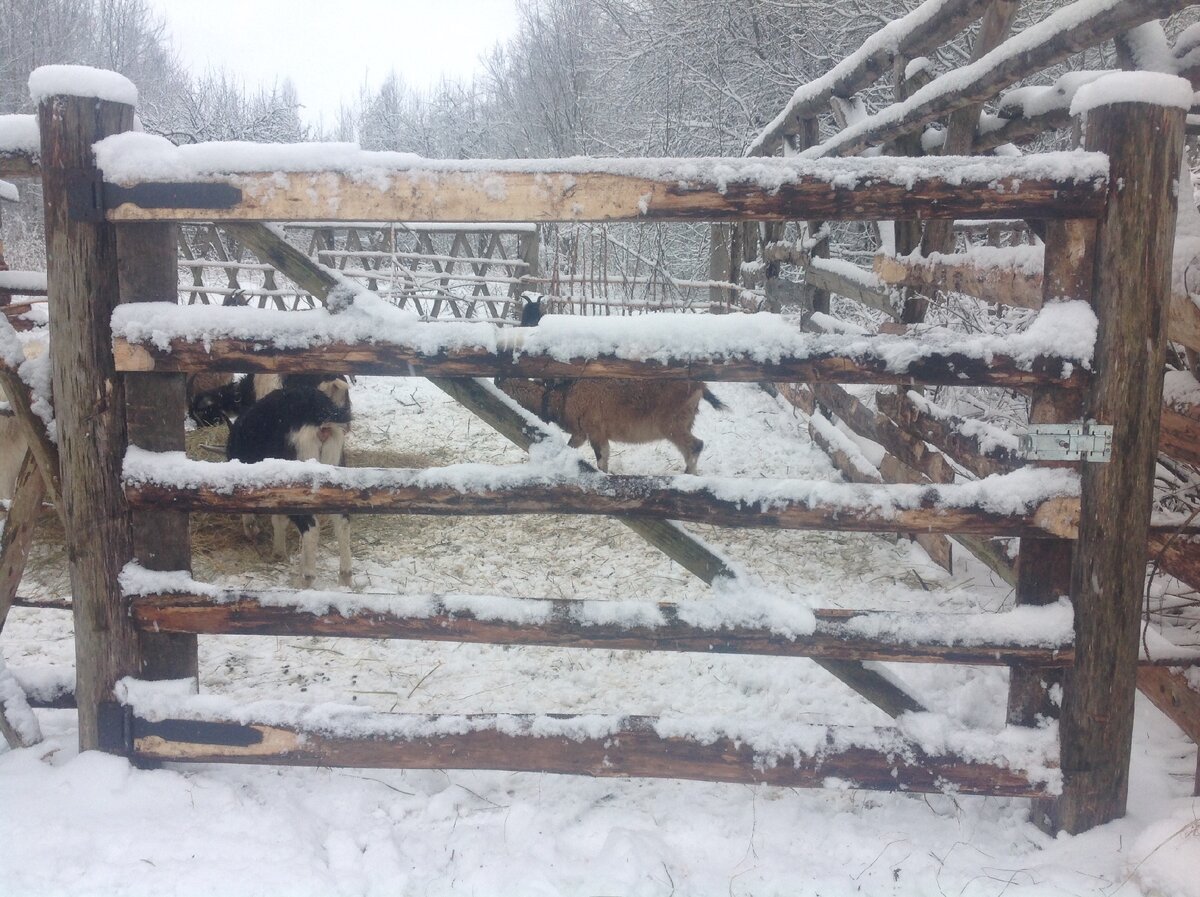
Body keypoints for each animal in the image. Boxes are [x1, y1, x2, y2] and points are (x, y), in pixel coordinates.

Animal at [225, 386, 350, 587]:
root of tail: (320, 418)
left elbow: (277, 518)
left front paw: (275, 550)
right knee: (342, 521)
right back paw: (345, 577)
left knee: (311, 527)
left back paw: (307, 578)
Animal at [494, 376, 720, 472]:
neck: (562, 397)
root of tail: (701, 386)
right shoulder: (582, 433)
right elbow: (572, 448)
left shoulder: (595, 430)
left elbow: (601, 460)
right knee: (690, 449)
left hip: (672, 424)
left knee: (696, 445)